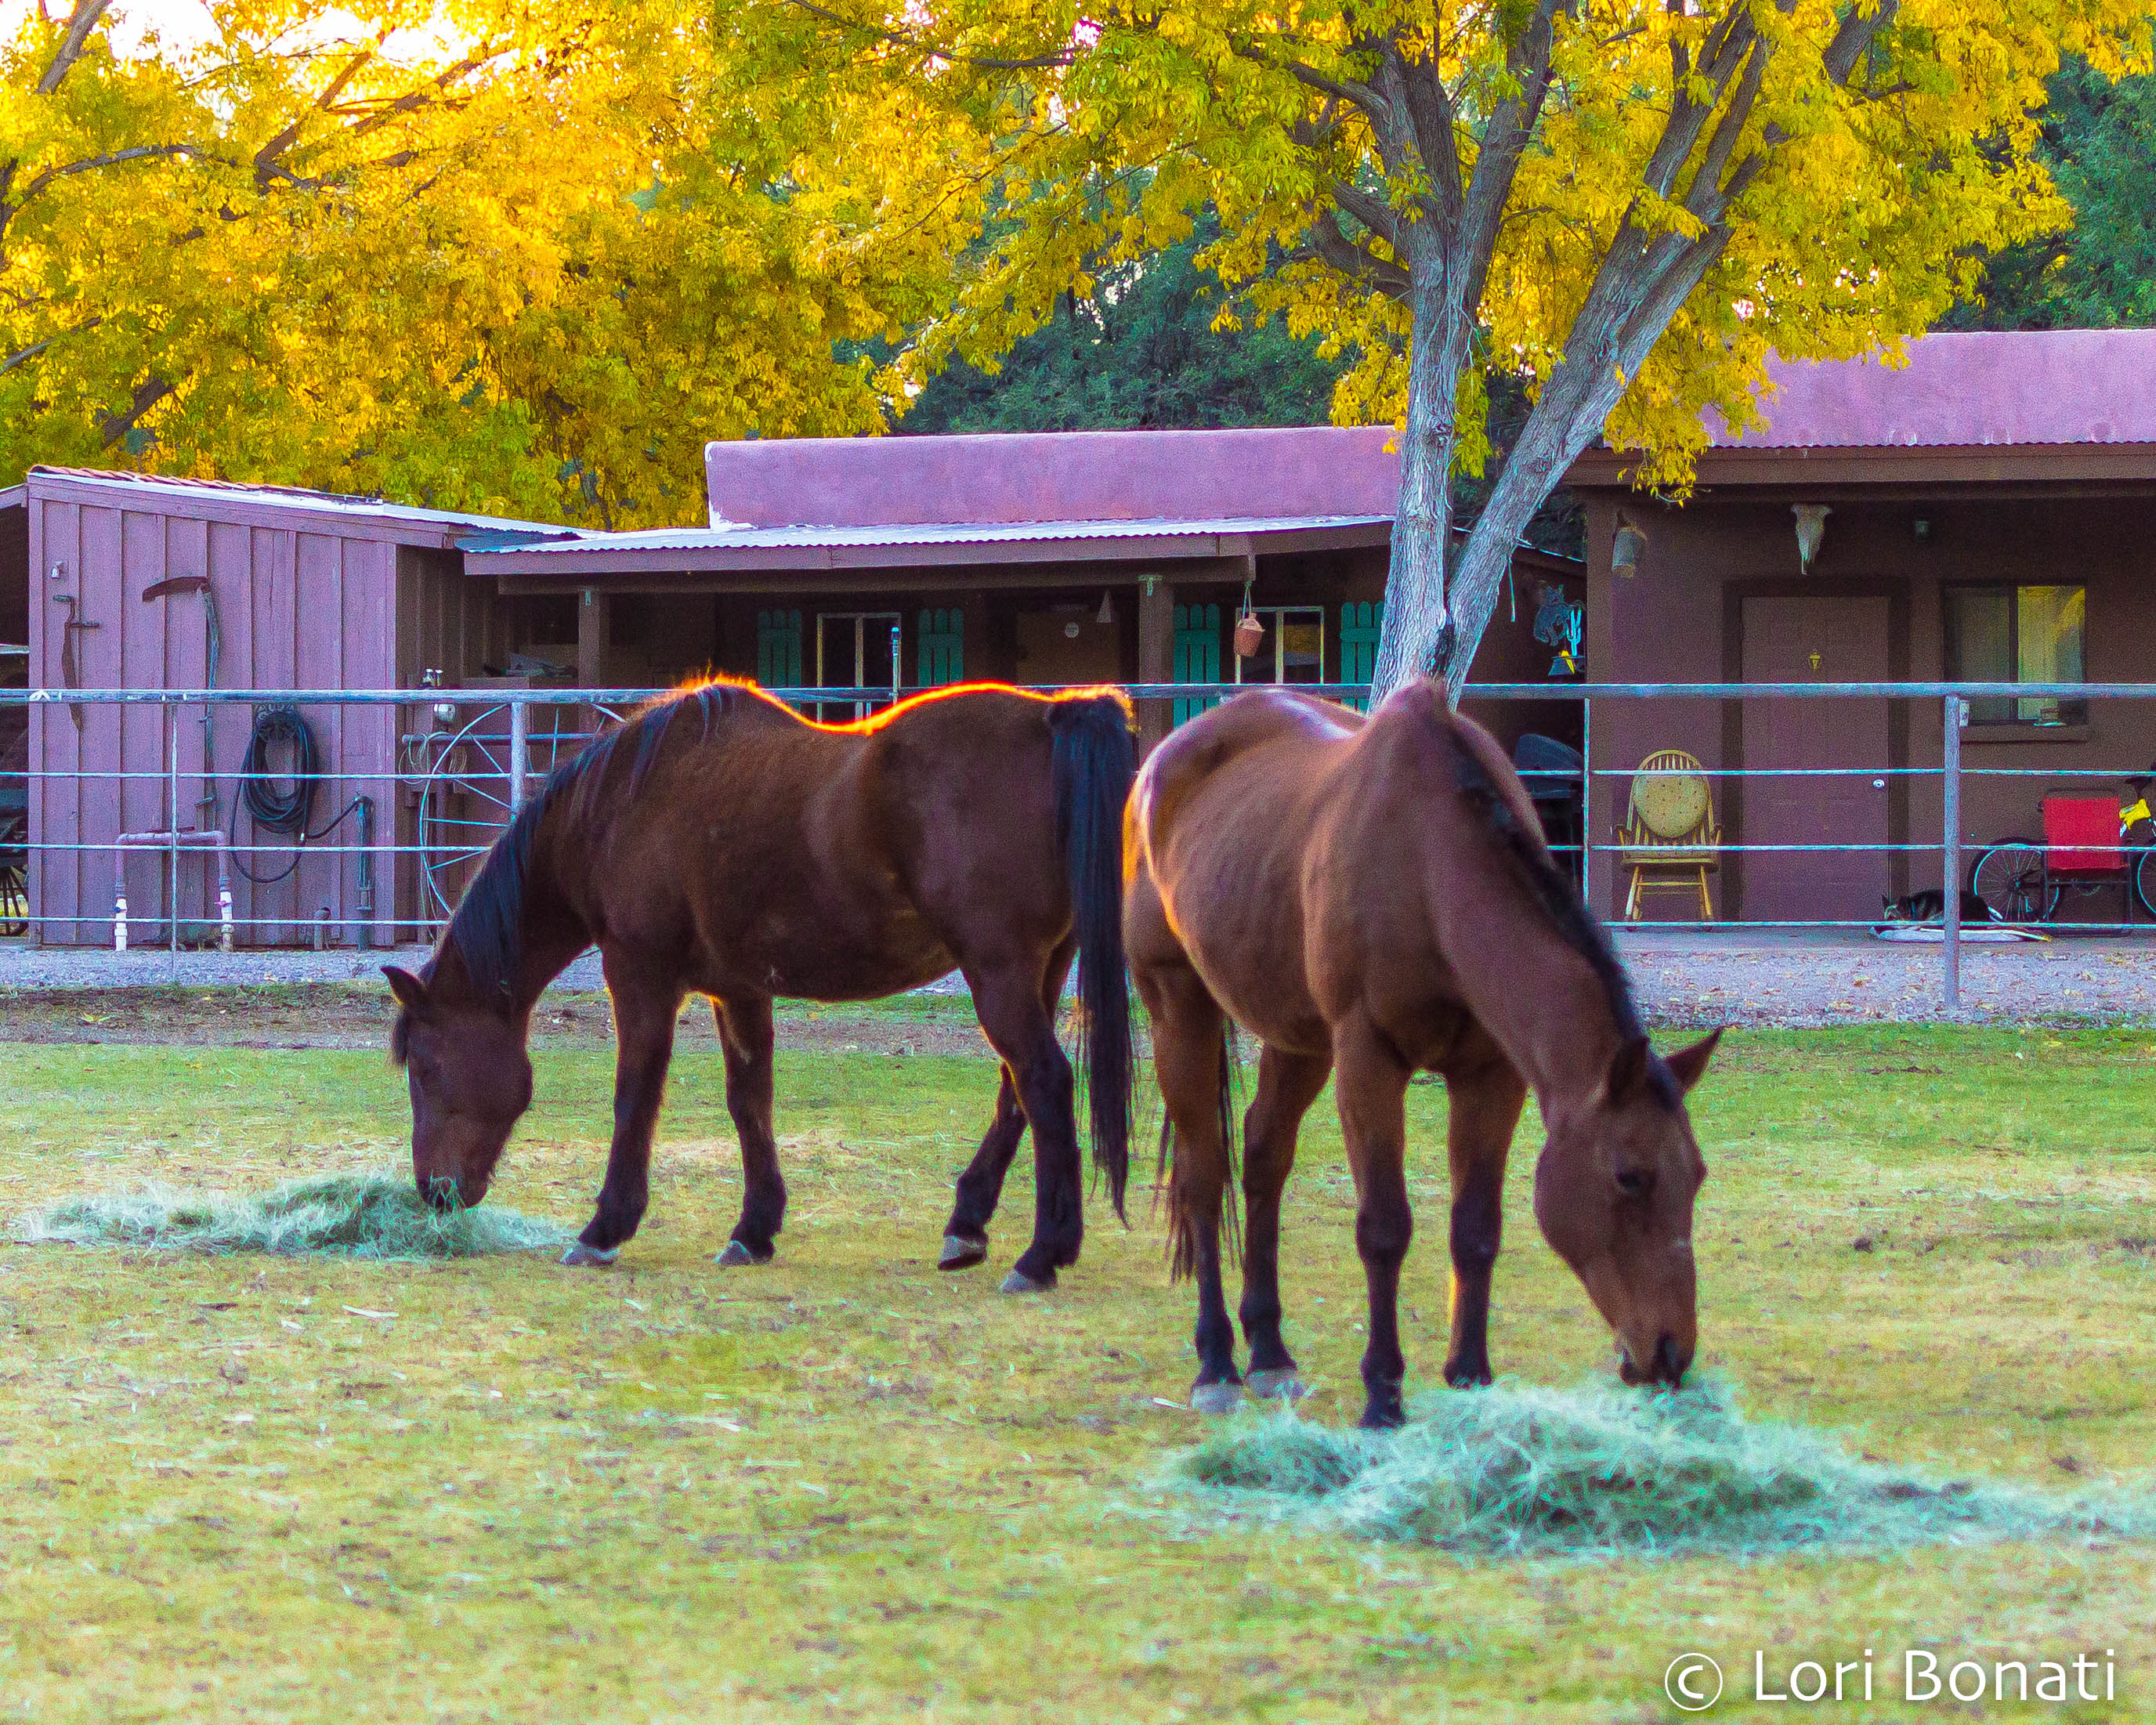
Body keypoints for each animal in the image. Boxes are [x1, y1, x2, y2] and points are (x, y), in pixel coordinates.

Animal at [384, 677, 1135, 1292]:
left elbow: (635, 1095)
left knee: (1043, 1081)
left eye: (424, 1067)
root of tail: (1051, 718)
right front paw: (754, 1229)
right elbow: (750, 1101)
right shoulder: (738, 989)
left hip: (998, 971)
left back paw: (1042, 1255)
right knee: (1017, 1090)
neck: (625, 804)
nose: (433, 1193)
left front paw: (604, 1230)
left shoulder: (640, 975)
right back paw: (968, 1225)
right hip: (1039, 970)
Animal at [1124, 679, 1720, 1429]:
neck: (1430, 871)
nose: (1669, 1354)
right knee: (1204, 1177)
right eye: (1630, 1177)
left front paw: (1471, 1378)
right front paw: (1383, 1394)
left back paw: (1270, 1353)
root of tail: (1160, 763)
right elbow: (1384, 1228)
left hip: (1297, 1036)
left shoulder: (1491, 1076)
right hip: (1179, 1007)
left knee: (1263, 1157)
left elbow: (1477, 1228)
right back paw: (1218, 1365)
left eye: (1696, 1176)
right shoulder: (1368, 1061)